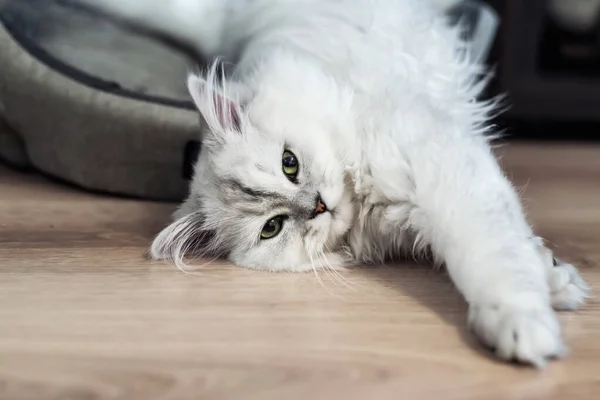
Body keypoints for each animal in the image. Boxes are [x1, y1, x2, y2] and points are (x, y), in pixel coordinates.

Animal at [78, 0, 592, 368]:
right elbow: (509, 247)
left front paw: (524, 319)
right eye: (273, 228)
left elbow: (489, 253)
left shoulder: (436, 164)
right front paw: (550, 289)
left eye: (289, 163)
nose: (318, 206)